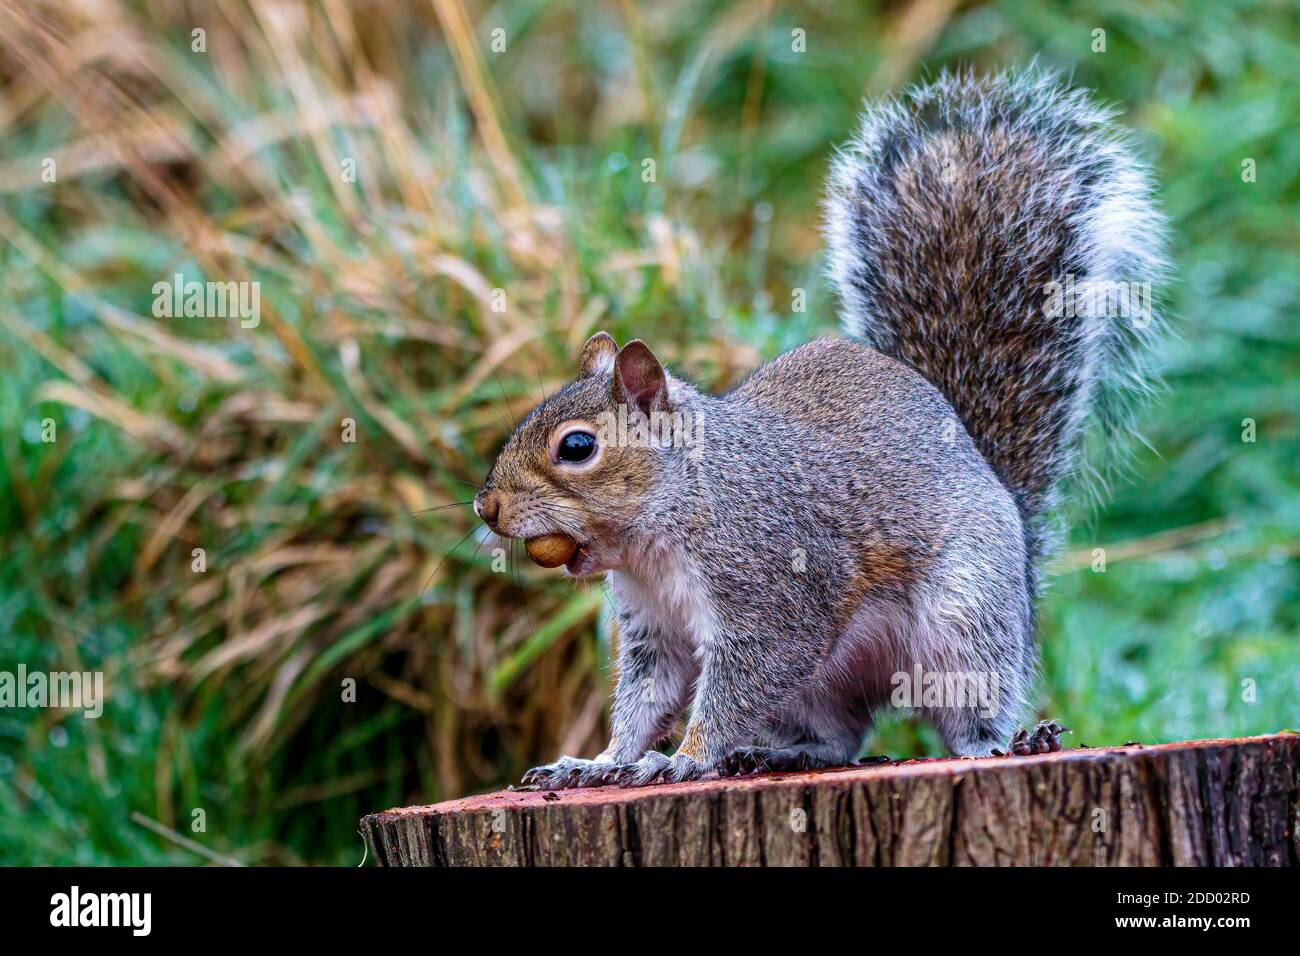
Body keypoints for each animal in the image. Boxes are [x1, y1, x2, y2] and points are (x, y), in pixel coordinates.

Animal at [474, 68, 1168, 788]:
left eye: (578, 447)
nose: (485, 507)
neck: (671, 521)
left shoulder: (773, 593)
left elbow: (739, 684)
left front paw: (684, 759)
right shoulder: (654, 631)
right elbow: (645, 698)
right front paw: (598, 761)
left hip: (965, 620)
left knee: (969, 708)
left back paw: (1004, 742)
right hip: (821, 688)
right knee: (840, 736)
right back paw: (779, 752)